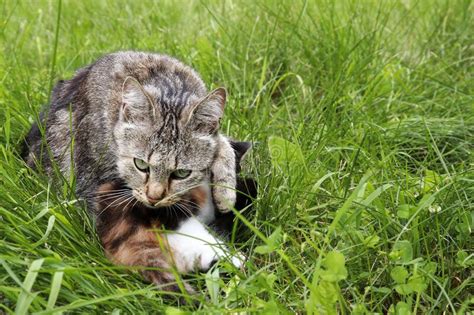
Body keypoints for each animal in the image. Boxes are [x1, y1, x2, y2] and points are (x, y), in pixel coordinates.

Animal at [23, 51, 256, 292]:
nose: (154, 197)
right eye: (140, 164)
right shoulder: (92, 187)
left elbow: (221, 144)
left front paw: (225, 188)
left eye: (182, 173)